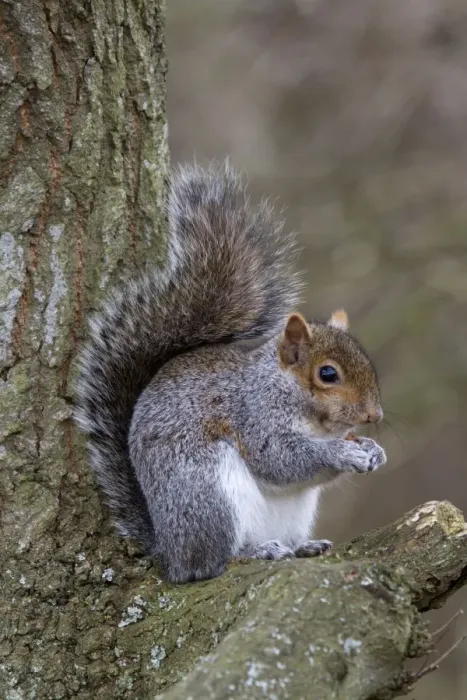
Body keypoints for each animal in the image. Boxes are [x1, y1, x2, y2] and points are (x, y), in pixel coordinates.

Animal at [74, 161, 386, 584]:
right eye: (328, 374)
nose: (375, 415)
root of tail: (169, 551)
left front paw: (372, 449)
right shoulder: (252, 415)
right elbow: (279, 458)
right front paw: (342, 452)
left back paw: (301, 546)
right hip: (208, 493)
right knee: (212, 564)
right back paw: (255, 551)